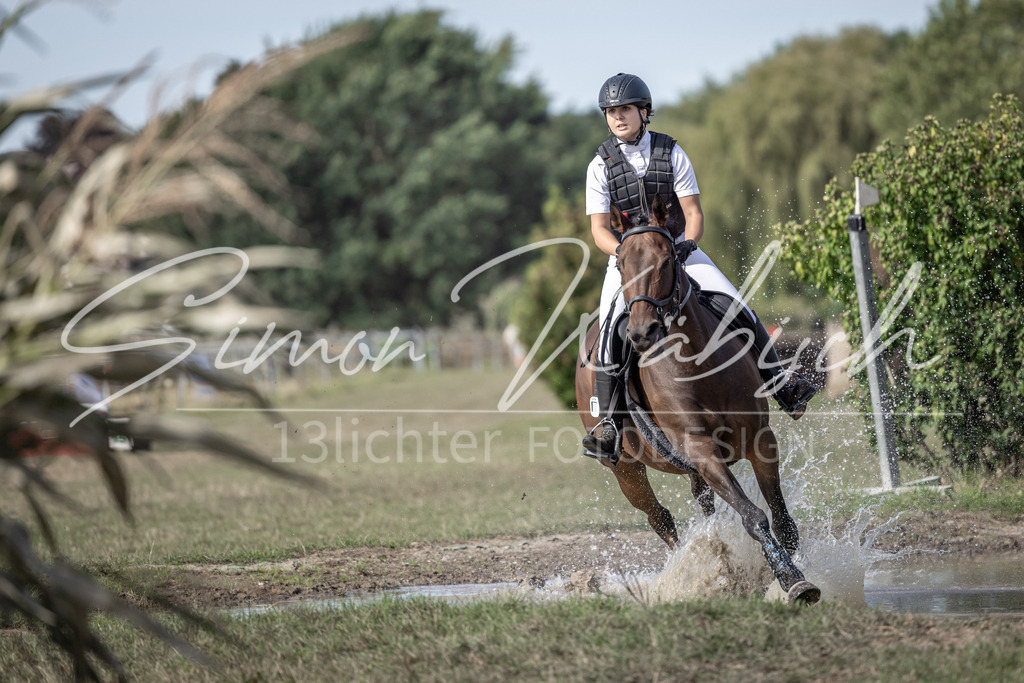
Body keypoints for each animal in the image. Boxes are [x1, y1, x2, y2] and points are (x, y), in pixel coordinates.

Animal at [575, 195, 820, 605]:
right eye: (621, 264)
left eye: (667, 260)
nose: (642, 332)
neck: (695, 363)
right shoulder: (702, 451)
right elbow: (753, 516)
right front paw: (789, 579)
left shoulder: (760, 440)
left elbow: (780, 518)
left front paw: (791, 575)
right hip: (626, 470)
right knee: (660, 518)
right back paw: (687, 570)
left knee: (704, 506)